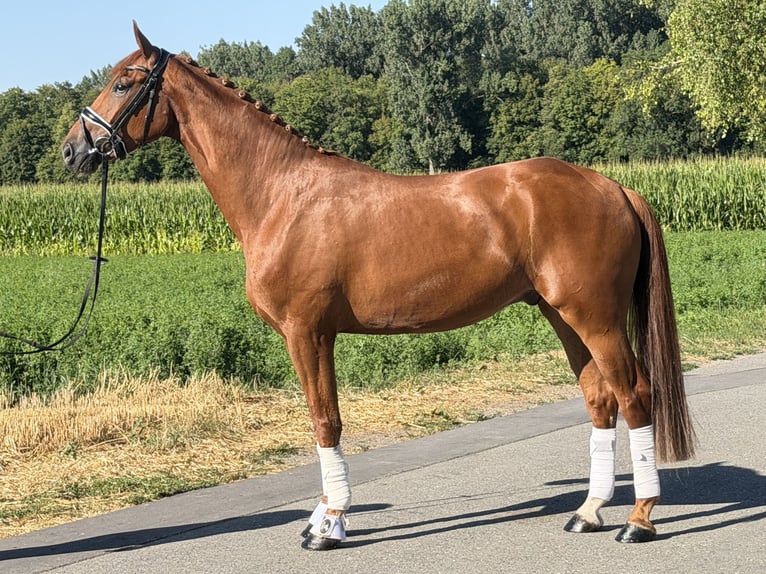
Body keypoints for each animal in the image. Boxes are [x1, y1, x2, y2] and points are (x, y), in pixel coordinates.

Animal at [62, 23, 695, 550]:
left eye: (122, 83)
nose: (73, 149)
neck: (283, 195)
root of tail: (613, 187)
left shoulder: (307, 332)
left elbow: (325, 420)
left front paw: (330, 524)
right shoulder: (315, 335)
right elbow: (323, 419)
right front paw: (323, 516)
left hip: (598, 318)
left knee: (635, 396)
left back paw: (639, 519)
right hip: (562, 316)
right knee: (600, 400)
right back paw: (588, 512)